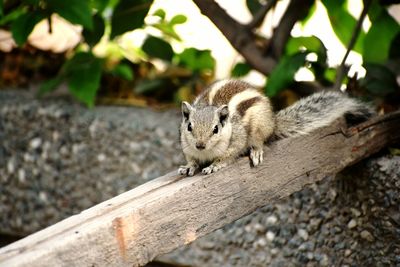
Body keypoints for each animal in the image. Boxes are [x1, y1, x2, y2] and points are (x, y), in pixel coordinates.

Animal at [178, 78, 376, 177]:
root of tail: (273, 122)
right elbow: (191, 159)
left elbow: (227, 156)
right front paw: (189, 166)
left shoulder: (236, 140)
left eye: (216, 129)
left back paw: (256, 151)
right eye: (189, 126)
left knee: (259, 140)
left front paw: (214, 166)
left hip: (259, 126)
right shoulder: (187, 147)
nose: (200, 145)